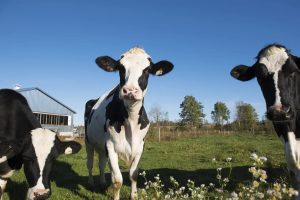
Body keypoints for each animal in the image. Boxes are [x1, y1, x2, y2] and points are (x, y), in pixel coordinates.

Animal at [84, 47, 173, 200]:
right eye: (121, 68)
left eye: (147, 70)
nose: (130, 90)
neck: (130, 121)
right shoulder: (111, 146)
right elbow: (117, 180)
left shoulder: (140, 146)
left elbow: (133, 174)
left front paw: (134, 195)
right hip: (88, 142)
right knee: (90, 164)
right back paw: (90, 182)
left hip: (101, 146)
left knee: (101, 164)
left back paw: (102, 183)